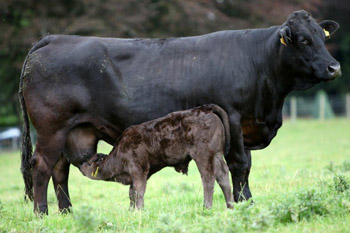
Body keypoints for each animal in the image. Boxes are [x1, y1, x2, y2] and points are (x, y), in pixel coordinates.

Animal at [79, 104, 232, 208]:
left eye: (89, 162)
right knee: (223, 176)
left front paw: (139, 210)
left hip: (203, 156)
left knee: (208, 179)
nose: (81, 165)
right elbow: (132, 193)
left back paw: (207, 207)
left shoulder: (139, 171)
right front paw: (131, 211)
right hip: (216, 155)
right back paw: (230, 206)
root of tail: (205, 108)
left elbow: (139, 192)